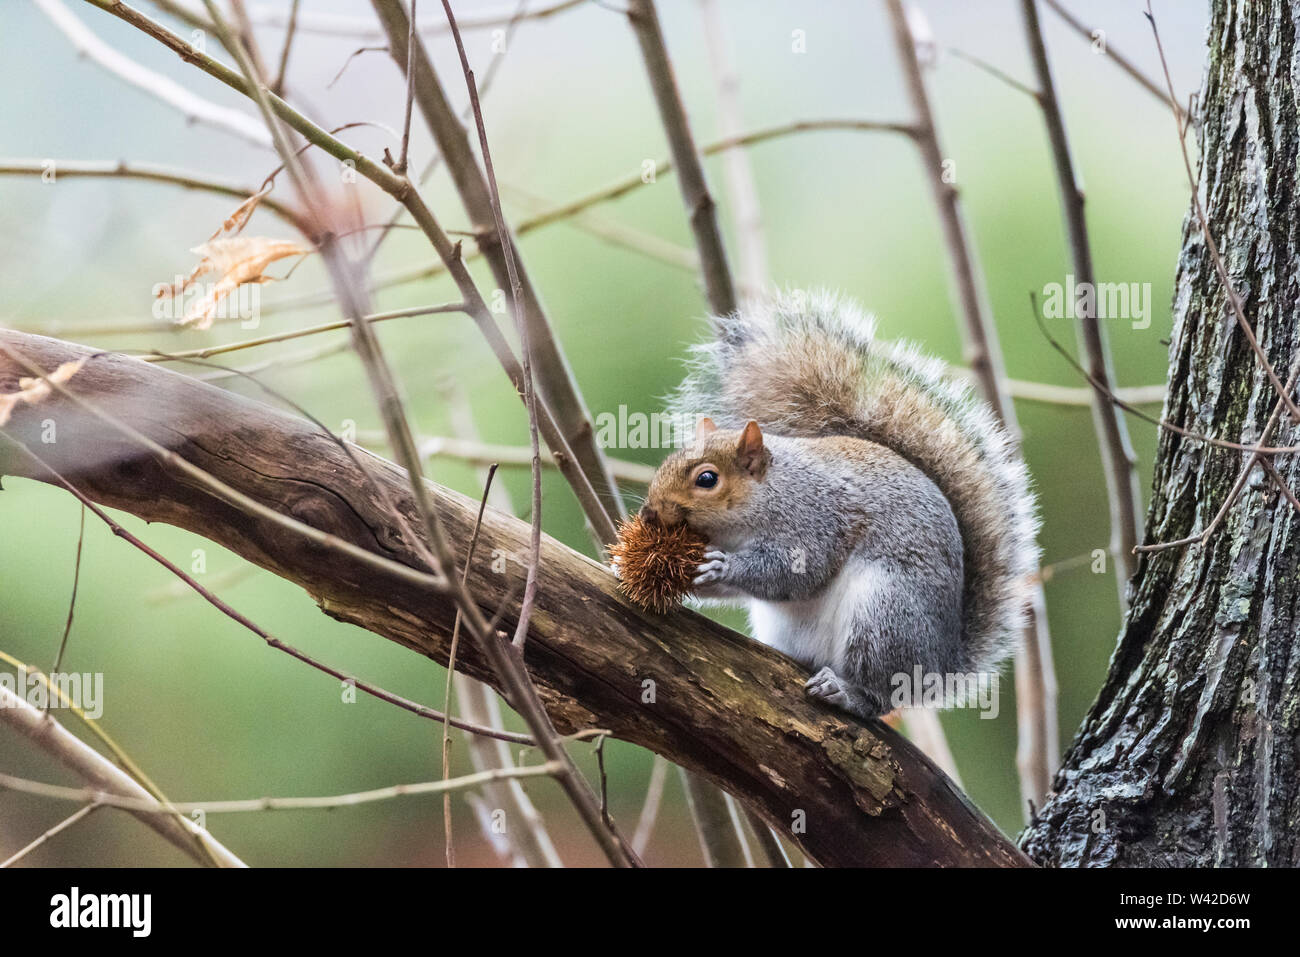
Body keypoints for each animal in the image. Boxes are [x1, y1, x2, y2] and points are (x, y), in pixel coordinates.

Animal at [639, 290, 1039, 720]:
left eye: (707, 479)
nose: (648, 513)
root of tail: (941, 665)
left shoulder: (815, 519)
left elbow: (797, 572)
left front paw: (722, 566)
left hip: (884, 614)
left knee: (881, 694)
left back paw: (846, 692)